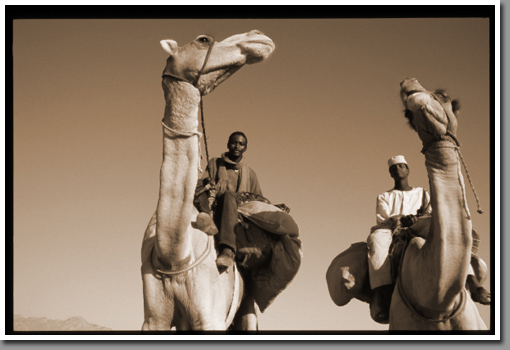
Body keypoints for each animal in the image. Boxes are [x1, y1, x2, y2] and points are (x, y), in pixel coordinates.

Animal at [139, 30, 274, 330]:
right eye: (202, 40)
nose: (258, 37)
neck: (175, 257)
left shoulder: (210, 316)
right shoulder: (154, 317)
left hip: (245, 308)